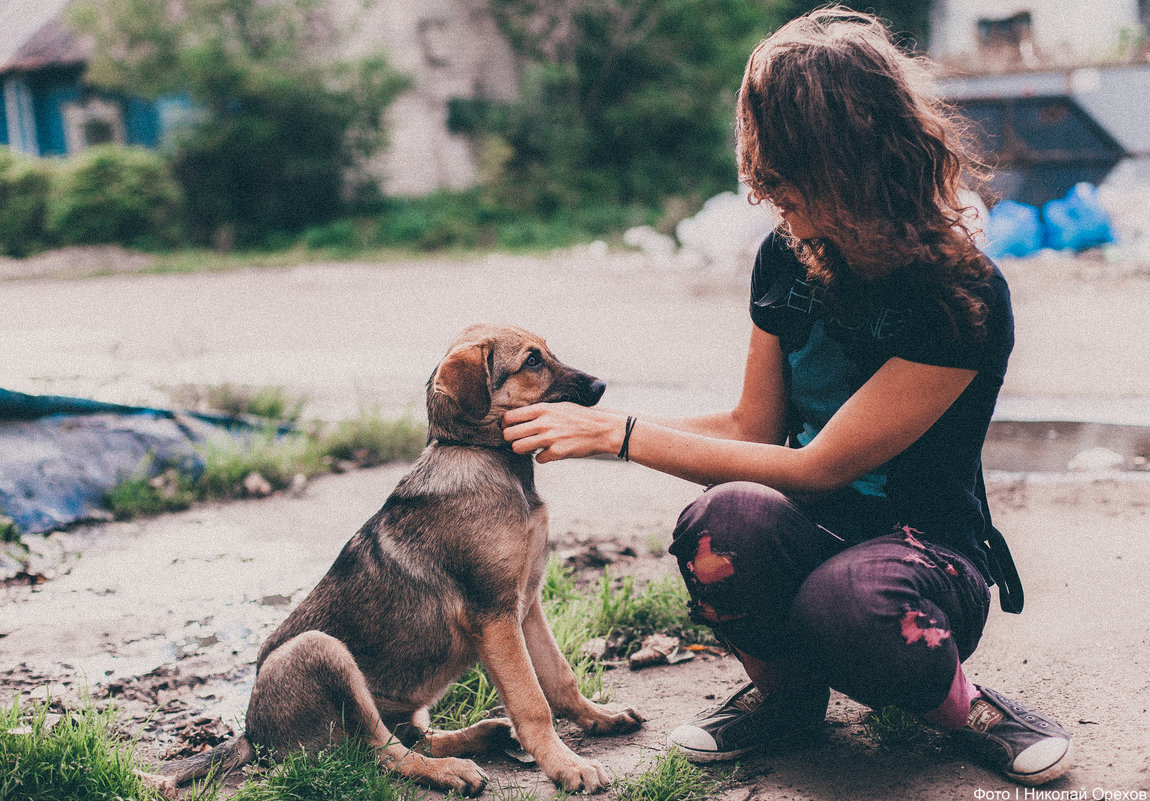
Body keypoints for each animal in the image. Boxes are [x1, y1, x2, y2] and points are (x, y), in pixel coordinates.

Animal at [144, 324, 644, 795]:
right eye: (533, 361)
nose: (601, 386)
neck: (484, 456)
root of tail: (252, 736)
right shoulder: (495, 614)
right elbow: (532, 701)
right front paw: (568, 767)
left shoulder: (527, 605)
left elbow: (559, 678)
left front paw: (600, 718)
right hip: (318, 651)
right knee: (383, 753)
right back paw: (451, 771)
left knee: (412, 737)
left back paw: (485, 735)